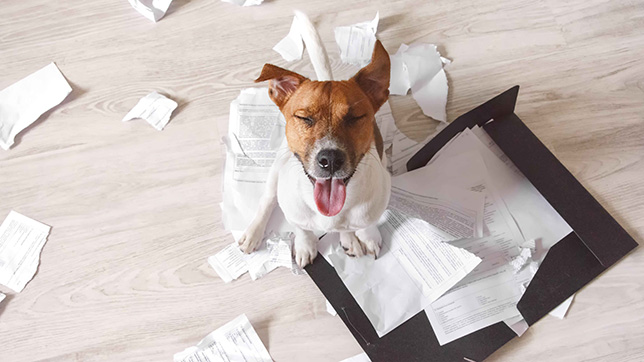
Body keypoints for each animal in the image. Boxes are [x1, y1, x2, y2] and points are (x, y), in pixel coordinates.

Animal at [235, 19, 390, 268]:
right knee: (267, 200)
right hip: (277, 167)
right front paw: (305, 246)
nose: (331, 160)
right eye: (304, 118)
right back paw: (253, 233)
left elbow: (367, 224)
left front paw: (367, 237)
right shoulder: (296, 215)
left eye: (354, 117)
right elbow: (303, 230)